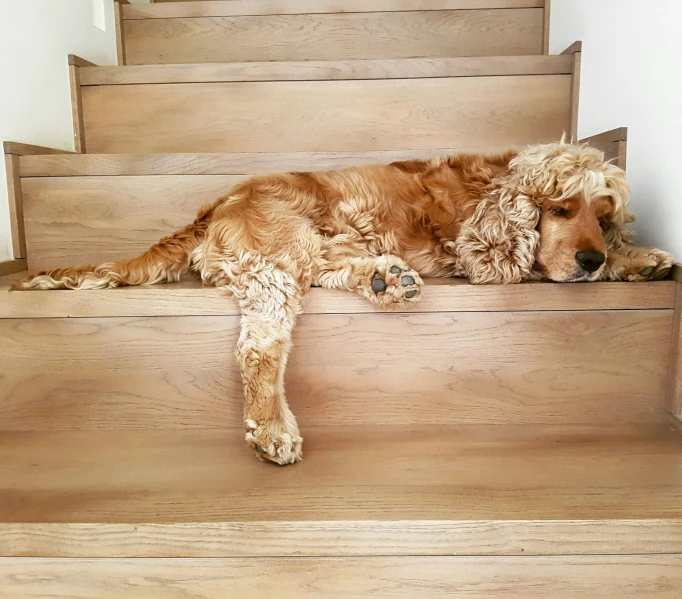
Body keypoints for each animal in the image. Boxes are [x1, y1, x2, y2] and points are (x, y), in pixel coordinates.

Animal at [13, 143, 672, 466]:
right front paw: (623, 260)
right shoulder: (479, 252)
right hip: (281, 253)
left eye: (603, 214)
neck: (495, 190)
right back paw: (273, 430)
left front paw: (640, 258)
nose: (588, 262)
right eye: (560, 208)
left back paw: (387, 278)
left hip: (315, 244)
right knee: (260, 348)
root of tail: (215, 208)